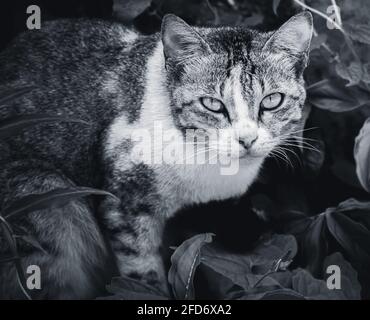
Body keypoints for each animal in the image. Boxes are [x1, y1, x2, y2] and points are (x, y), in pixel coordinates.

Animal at [0, 11, 312, 298]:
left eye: (272, 101)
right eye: (212, 104)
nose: (247, 139)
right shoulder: (124, 204)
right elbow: (143, 272)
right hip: (46, 197)